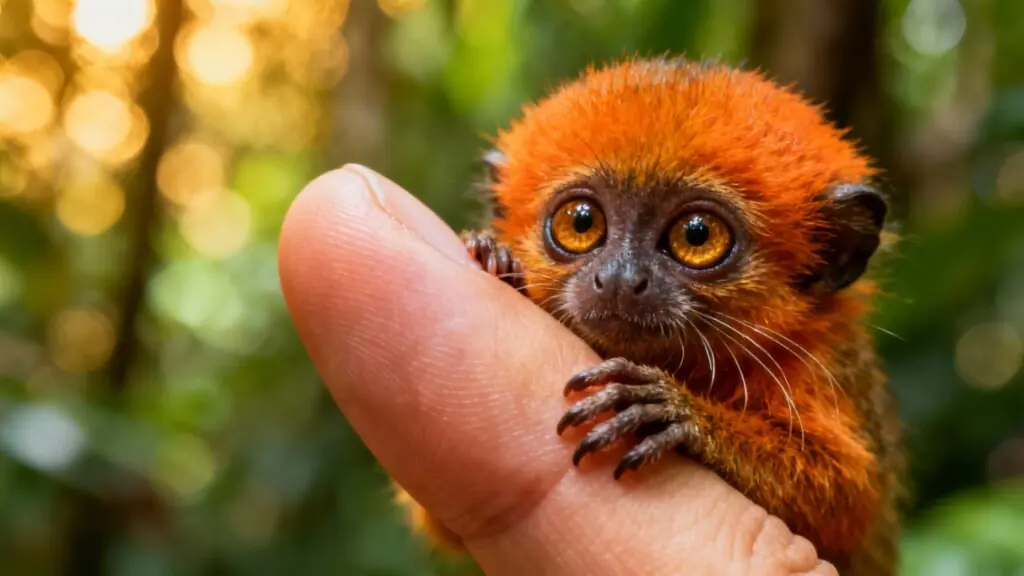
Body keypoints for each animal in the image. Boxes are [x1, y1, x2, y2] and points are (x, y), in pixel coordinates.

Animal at [393, 57, 905, 576]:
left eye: (697, 235)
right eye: (581, 222)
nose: (621, 278)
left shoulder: (826, 367)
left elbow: (845, 502)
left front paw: (678, 412)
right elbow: (442, 521)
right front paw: (496, 257)